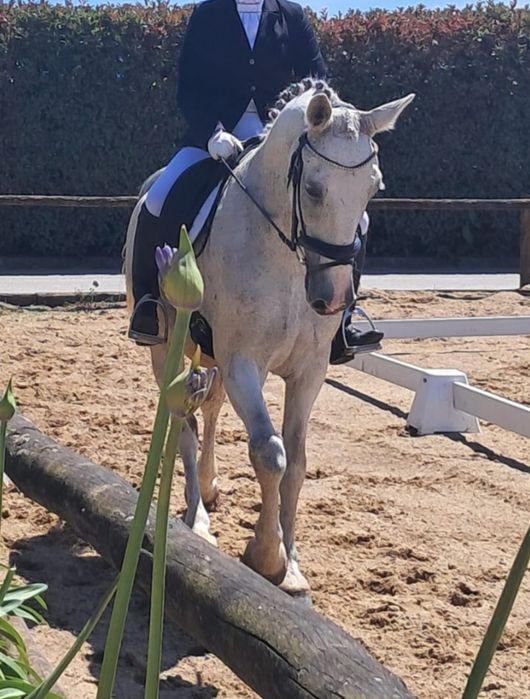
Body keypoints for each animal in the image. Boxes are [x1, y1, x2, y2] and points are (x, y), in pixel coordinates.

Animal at [125, 80, 414, 597]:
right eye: (314, 189)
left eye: (373, 189)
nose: (332, 300)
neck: (285, 255)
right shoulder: (244, 363)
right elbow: (269, 453)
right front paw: (265, 554)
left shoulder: (309, 371)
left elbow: (296, 461)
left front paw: (292, 567)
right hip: (166, 350)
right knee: (183, 422)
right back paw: (198, 519)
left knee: (209, 409)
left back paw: (210, 486)